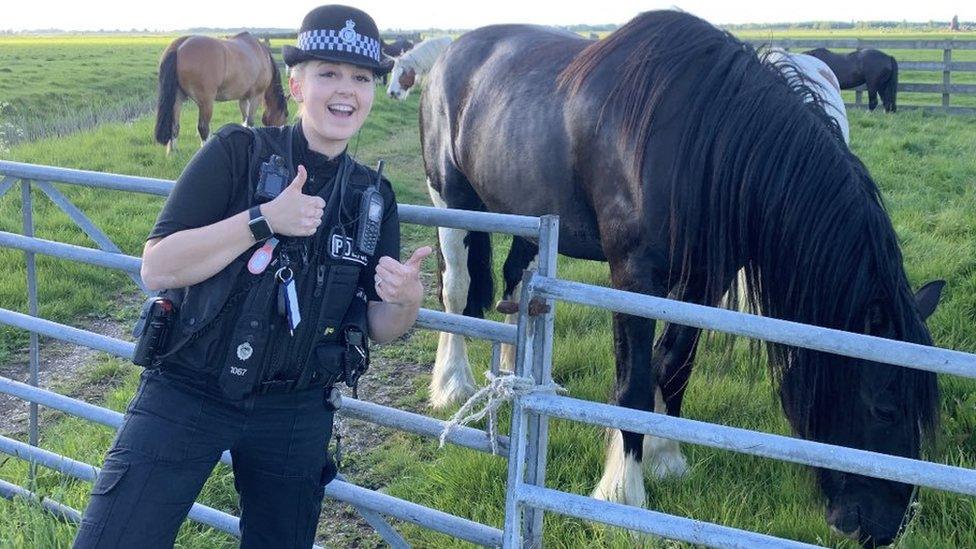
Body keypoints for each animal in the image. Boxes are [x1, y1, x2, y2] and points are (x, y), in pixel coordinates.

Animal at [152, 31, 288, 154]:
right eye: (286, 114)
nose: (282, 130)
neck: (261, 54)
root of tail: (179, 46)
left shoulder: (243, 98)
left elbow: (244, 120)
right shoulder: (256, 96)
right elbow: (250, 122)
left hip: (177, 98)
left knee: (174, 125)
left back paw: (172, 152)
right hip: (206, 102)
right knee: (203, 128)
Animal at [422, 11, 944, 544]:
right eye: (885, 408)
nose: (887, 528)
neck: (706, 143)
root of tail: (450, 53)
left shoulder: (703, 283)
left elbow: (673, 365)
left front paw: (666, 459)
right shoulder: (634, 277)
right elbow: (632, 385)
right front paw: (623, 496)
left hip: (528, 216)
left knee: (514, 279)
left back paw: (510, 377)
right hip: (450, 198)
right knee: (455, 292)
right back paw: (451, 386)